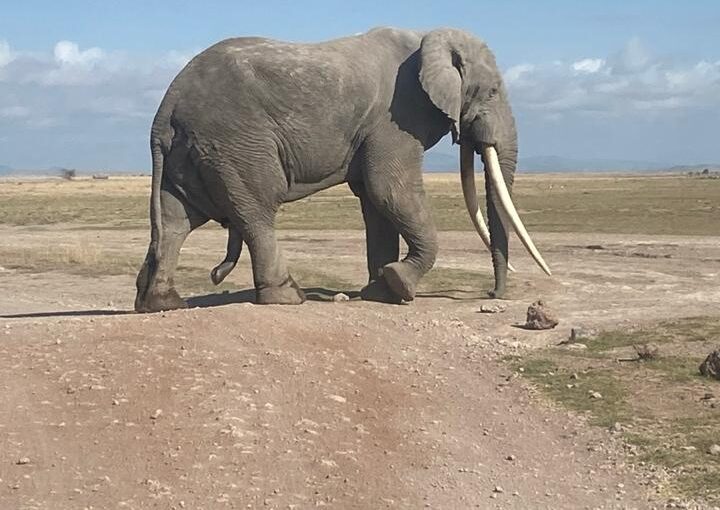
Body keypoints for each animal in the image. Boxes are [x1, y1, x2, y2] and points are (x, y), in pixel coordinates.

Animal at [134, 26, 551, 313]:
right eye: (492, 92)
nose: (492, 295)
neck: (426, 37)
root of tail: (166, 107)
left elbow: (375, 201)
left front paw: (381, 292)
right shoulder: (396, 118)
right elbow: (389, 188)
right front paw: (401, 285)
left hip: (189, 151)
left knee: (176, 220)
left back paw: (160, 304)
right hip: (235, 143)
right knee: (256, 212)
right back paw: (289, 296)